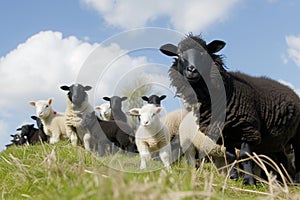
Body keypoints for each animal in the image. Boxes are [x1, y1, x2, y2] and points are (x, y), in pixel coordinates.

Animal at [161, 33, 300, 185]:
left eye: (204, 53)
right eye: (179, 54)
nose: (192, 70)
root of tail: (290, 90)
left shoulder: (247, 129)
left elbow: (245, 156)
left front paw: (249, 181)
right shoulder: (224, 134)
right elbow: (229, 156)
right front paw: (233, 178)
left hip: (296, 135)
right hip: (274, 141)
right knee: (281, 160)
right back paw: (285, 181)